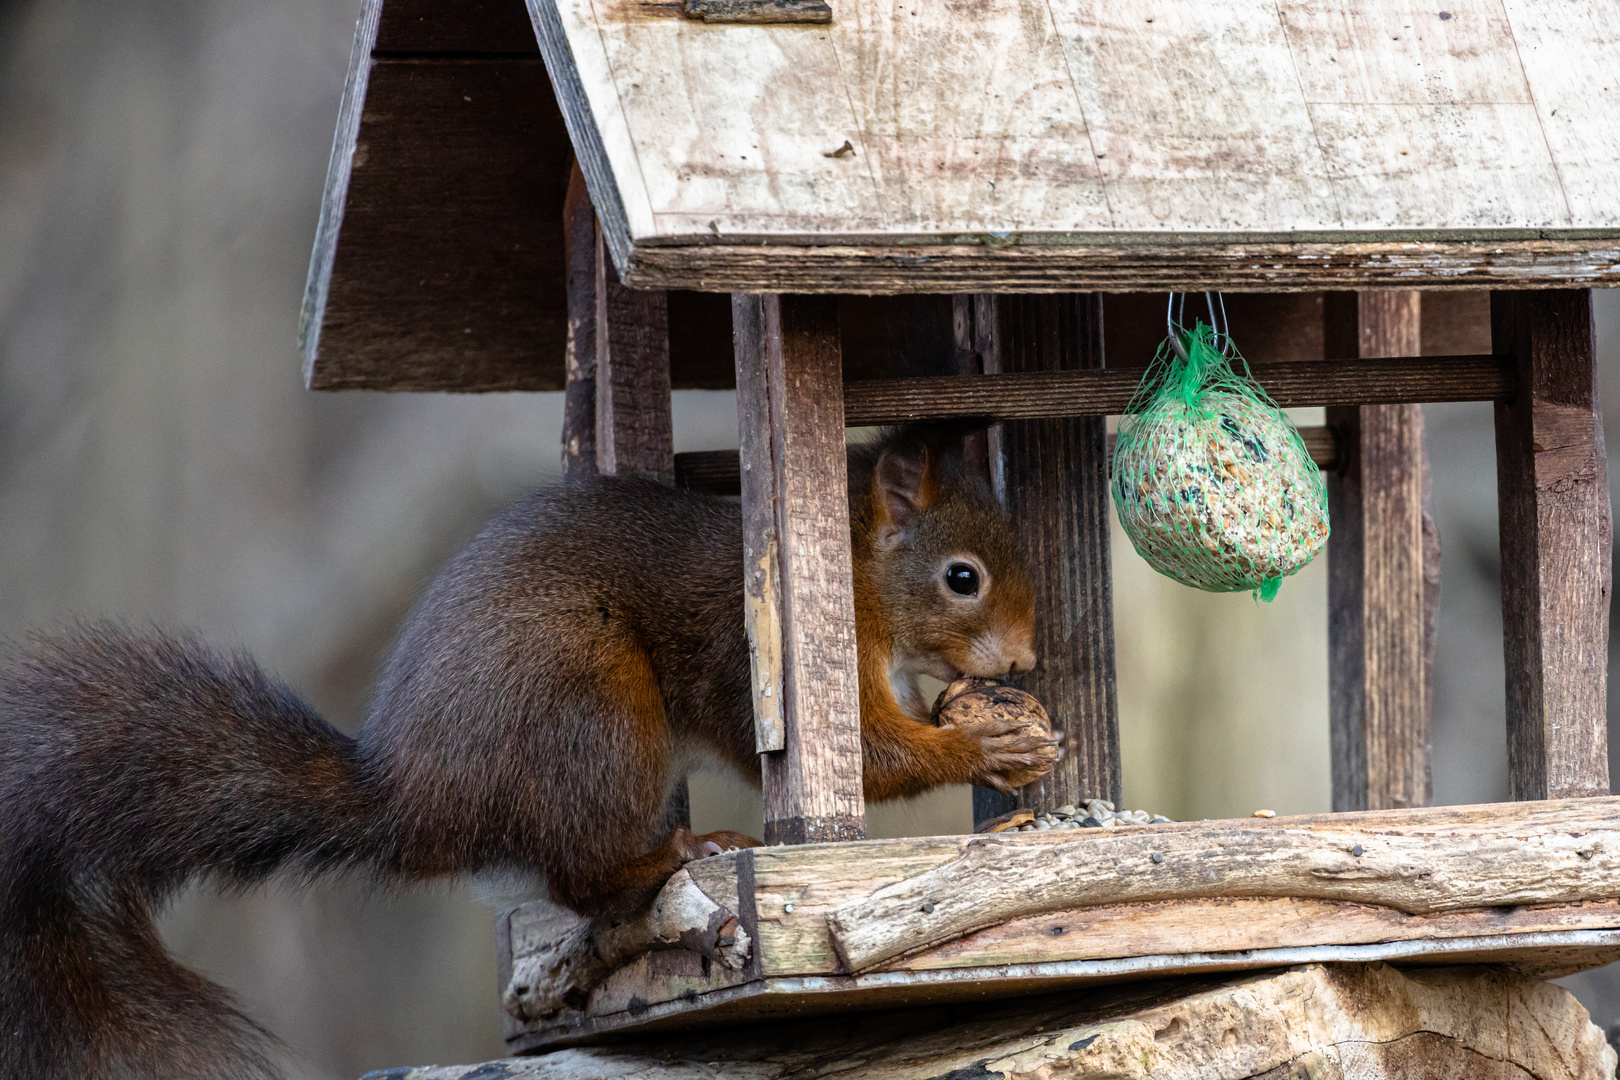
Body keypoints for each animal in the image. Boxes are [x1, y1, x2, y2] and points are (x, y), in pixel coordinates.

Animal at [0, 427, 1049, 1075]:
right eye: (962, 578)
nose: (1025, 662)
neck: (857, 575)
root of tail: (417, 801)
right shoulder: (759, 652)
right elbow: (867, 757)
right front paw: (986, 741)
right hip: (593, 711)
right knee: (582, 873)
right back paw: (679, 853)